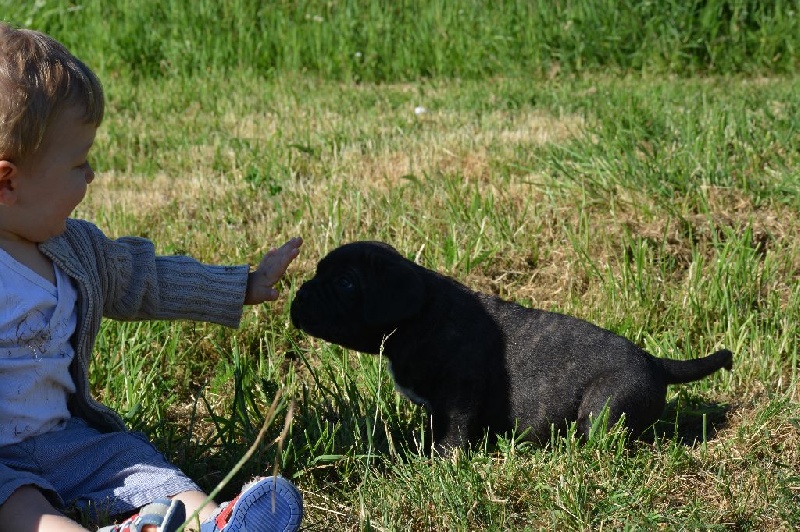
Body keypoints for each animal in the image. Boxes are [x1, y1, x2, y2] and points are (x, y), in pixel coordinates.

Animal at [290, 241, 736, 454]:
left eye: (346, 282)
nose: (301, 295)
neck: (421, 315)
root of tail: (656, 363)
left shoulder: (459, 395)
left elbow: (453, 433)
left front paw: (440, 461)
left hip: (605, 405)